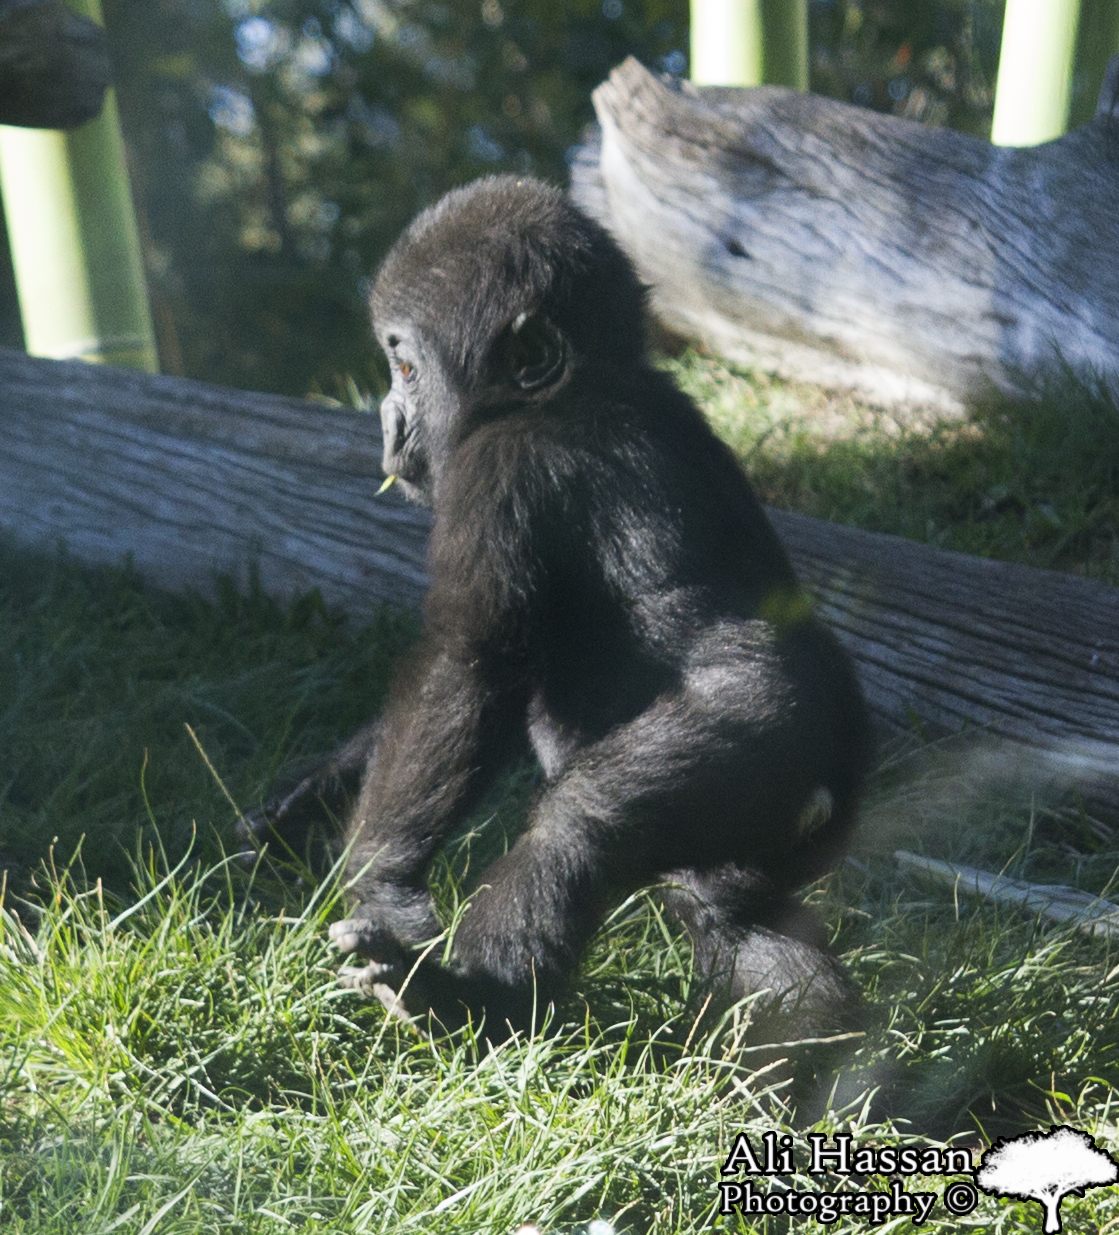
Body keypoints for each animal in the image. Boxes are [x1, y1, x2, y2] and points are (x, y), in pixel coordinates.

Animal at [281, 174, 874, 1042]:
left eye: (407, 367)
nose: (387, 421)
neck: (577, 382)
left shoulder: (502, 469)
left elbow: (467, 661)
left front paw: (379, 878)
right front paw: (315, 787)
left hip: (767, 731)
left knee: (581, 828)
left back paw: (472, 998)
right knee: (729, 909)